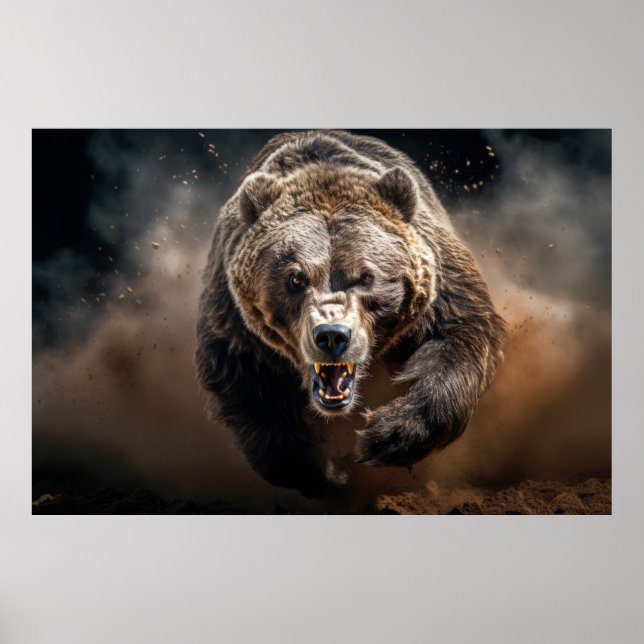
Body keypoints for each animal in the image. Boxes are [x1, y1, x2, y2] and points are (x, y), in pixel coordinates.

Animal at [196, 130, 506, 498]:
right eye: (296, 278)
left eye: (366, 277)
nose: (332, 336)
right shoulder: (238, 327)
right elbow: (249, 391)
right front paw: (332, 474)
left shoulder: (440, 288)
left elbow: (459, 335)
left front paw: (386, 436)